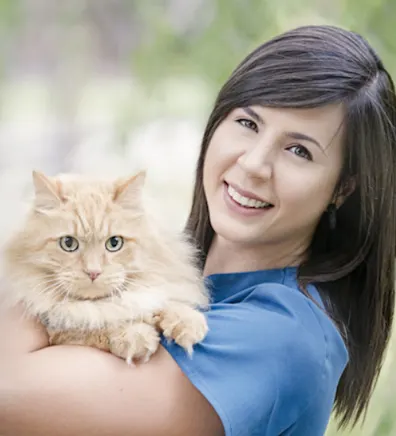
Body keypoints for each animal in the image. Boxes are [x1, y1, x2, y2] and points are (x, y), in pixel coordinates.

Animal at [0, 170, 209, 364]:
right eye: (68, 243)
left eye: (114, 243)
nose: (93, 272)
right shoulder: (57, 328)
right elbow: (95, 325)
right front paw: (135, 337)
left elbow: (162, 300)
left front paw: (188, 322)